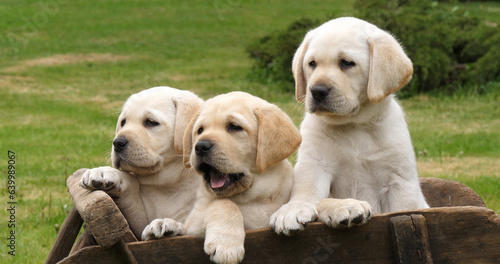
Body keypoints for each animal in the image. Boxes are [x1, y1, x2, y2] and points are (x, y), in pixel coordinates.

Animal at [80, 86, 203, 239]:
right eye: (123, 122)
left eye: (151, 122)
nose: (117, 143)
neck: (169, 183)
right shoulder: (138, 225)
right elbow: (130, 183)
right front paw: (103, 171)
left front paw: (169, 224)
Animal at [143, 91, 302, 264]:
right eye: (200, 130)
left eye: (234, 127)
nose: (200, 146)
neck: (253, 198)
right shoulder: (195, 221)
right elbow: (223, 204)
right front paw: (226, 245)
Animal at [270, 17, 430, 235]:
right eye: (312, 64)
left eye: (346, 63)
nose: (317, 91)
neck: (354, 124)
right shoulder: (315, 164)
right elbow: (306, 188)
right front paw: (292, 210)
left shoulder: (399, 181)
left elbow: (404, 208)